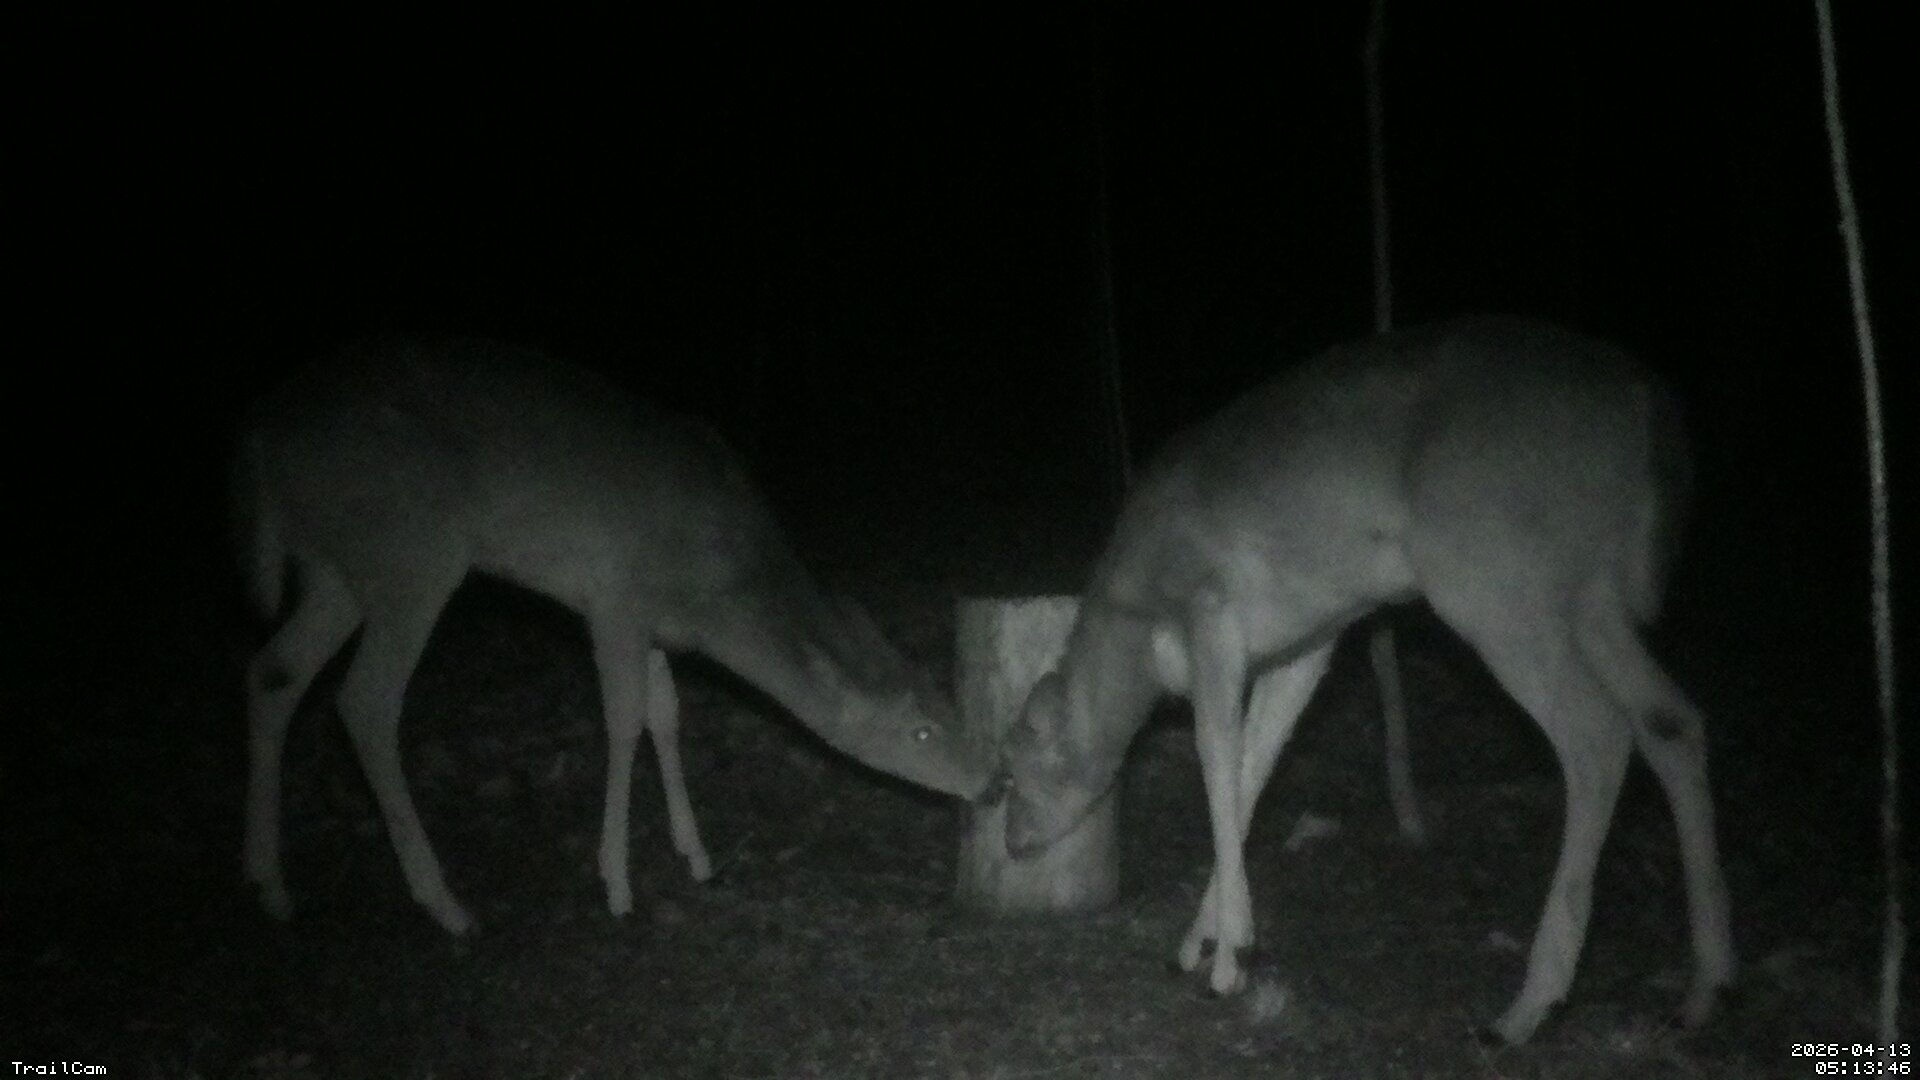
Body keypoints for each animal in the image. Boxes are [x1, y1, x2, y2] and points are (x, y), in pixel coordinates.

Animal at [234, 336, 996, 935]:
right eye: (922, 731)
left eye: (951, 704)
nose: (991, 785)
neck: (715, 591)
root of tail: (260, 439)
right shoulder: (616, 600)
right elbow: (625, 720)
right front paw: (618, 883)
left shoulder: (656, 622)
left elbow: (667, 714)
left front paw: (697, 856)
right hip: (413, 549)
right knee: (364, 701)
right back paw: (444, 902)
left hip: (334, 565)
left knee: (273, 671)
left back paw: (270, 885)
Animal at [997, 316, 1735, 1044]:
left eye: (1013, 776)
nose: (1013, 841)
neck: (1133, 631)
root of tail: (1648, 410)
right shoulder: (1307, 641)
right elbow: (1253, 767)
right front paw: (1198, 942)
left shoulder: (1209, 610)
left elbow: (1217, 761)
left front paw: (1230, 959)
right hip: (1593, 596)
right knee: (1671, 719)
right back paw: (1705, 986)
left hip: (1495, 583)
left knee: (1597, 733)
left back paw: (1529, 1005)